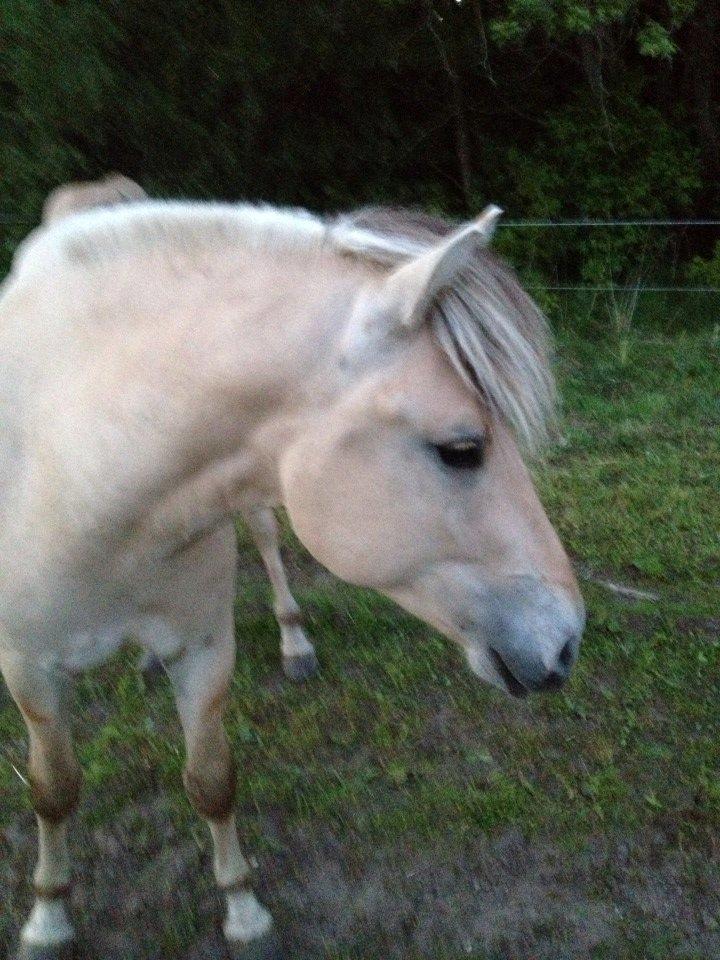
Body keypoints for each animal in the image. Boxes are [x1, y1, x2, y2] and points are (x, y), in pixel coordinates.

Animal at [0, 180, 584, 960]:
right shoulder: (27, 667)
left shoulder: (204, 649)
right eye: (463, 449)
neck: (77, 467)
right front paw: (48, 919)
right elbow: (53, 789)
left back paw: (294, 642)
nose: (566, 642)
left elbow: (212, 779)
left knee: (268, 540)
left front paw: (245, 913)